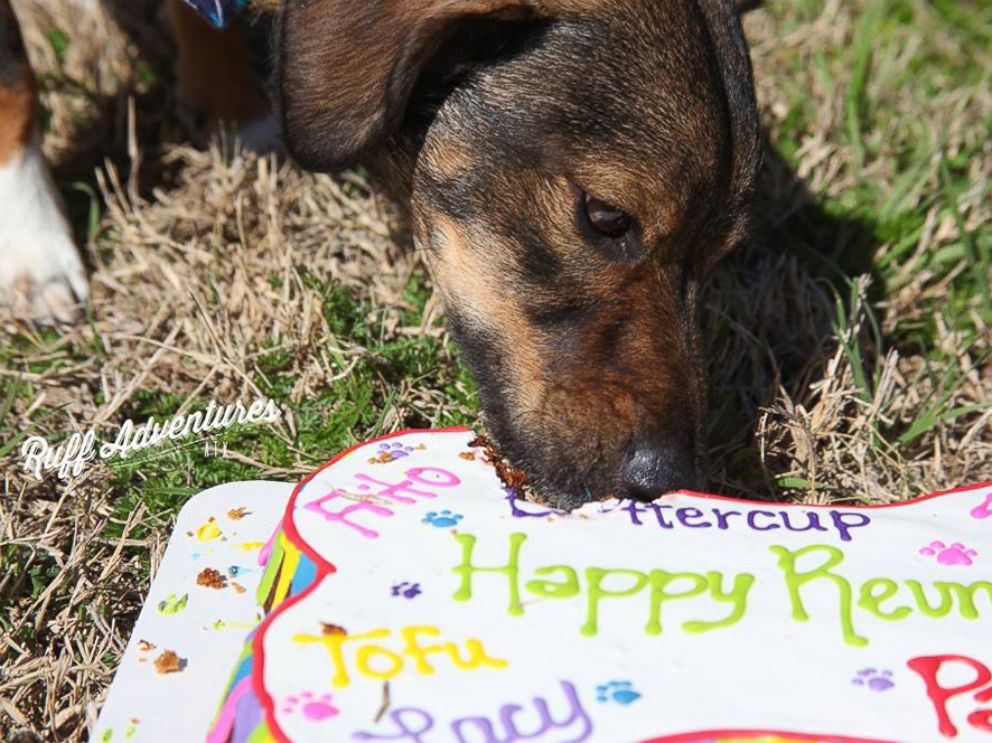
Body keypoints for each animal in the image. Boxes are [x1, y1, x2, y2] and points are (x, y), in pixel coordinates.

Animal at [1, 0, 760, 512]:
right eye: (605, 217)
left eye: (720, 257)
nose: (666, 481)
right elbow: (16, 87)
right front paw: (34, 252)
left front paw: (236, 114)